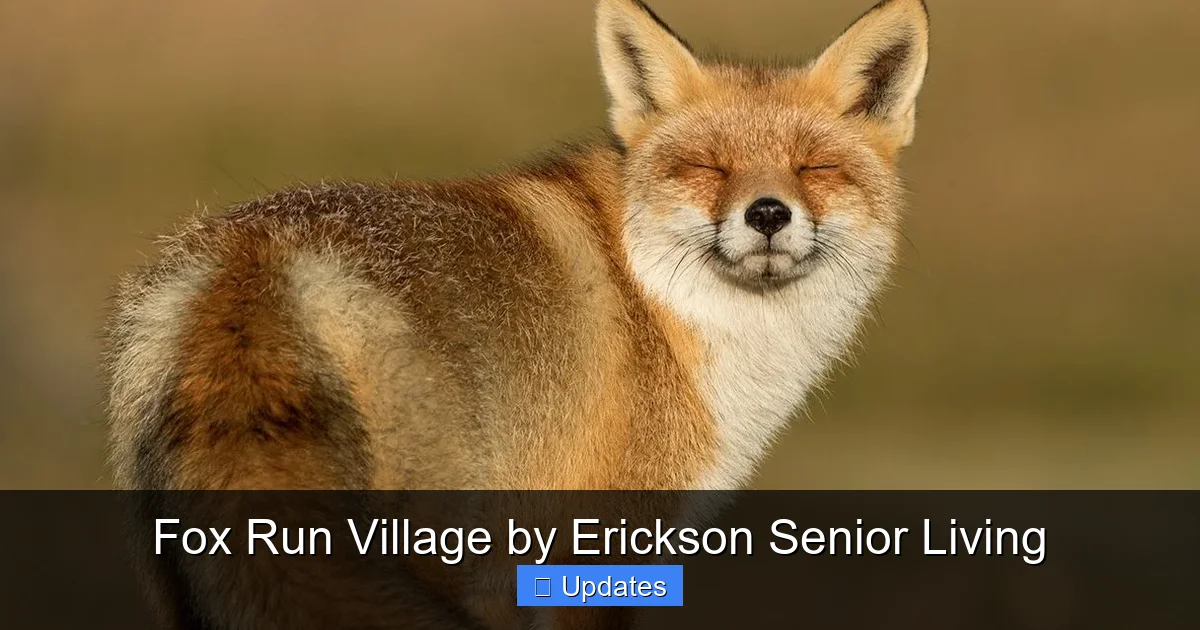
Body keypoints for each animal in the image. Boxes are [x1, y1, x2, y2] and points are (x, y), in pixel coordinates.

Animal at [106, 0, 928, 626]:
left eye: (815, 167)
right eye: (707, 166)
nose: (766, 214)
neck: (667, 314)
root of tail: (262, 261)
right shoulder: (599, 550)